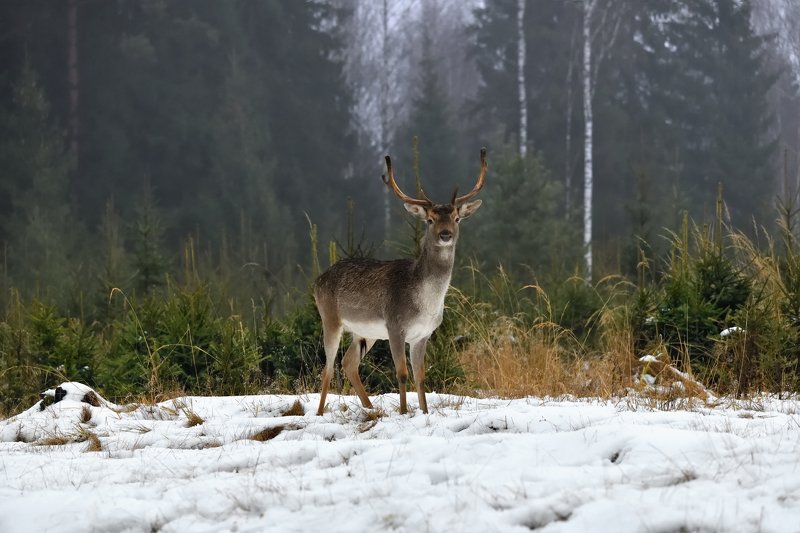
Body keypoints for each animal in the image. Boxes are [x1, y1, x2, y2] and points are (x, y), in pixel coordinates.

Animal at [314, 148, 487, 416]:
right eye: (429, 220)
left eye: (457, 218)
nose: (445, 234)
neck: (426, 304)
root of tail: (317, 281)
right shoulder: (395, 326)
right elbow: (402, 373)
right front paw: (404, 412)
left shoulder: (423, 335)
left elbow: (421, 377)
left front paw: (424, 412)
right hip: (330, 318)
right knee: (328, 368)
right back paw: (321, 412)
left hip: (365, 332)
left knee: (348, 362)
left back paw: (370, 408)